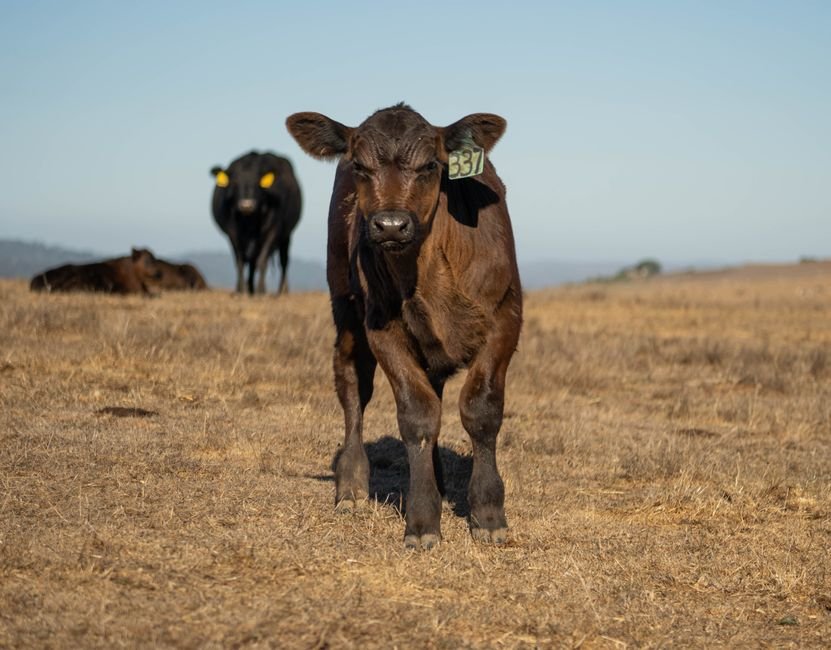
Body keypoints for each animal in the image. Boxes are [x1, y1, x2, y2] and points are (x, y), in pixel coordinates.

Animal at [210, 151, 302, 294]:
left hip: (286, 236)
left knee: (283, 261)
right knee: (251, 261)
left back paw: (281, 291)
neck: (250, 219)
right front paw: (241, 291)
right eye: (235, 183)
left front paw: (261, 291)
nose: (246, 205)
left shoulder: (273, 230)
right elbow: (240, 262)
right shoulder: (232, 233)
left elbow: (262, 260)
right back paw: (249, 289)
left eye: (258, 184)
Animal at [286, 104, 522, 550]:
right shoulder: (383, 330)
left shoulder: (505, 319)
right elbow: (417, 415)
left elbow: (481, 409)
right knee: (353, 387)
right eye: (360, 166)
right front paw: (423, 520)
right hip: (345, 309)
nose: (391, 225)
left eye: (431, 165)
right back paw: (352, 487)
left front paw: (487, 513)